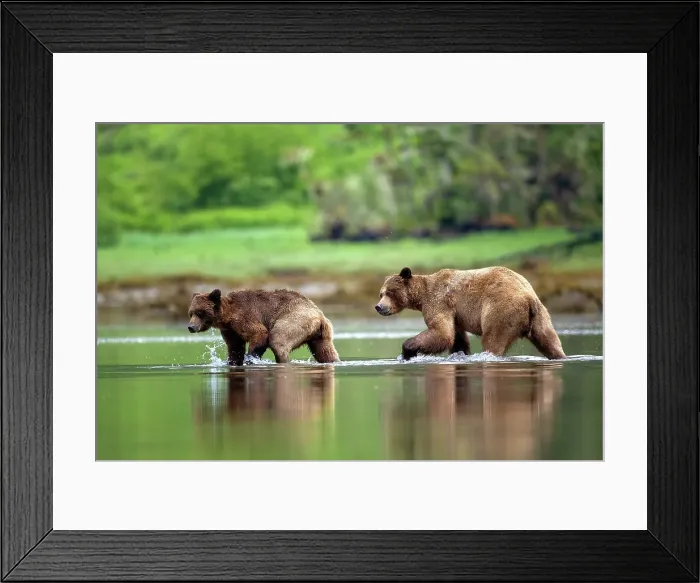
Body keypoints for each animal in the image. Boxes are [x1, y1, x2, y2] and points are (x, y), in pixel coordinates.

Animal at [187, 288, 339, 366]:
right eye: (191, 313)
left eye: (200, 313)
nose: (191, 327)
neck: (226, 316)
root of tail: (320, 316)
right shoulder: (230, 330)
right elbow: (235, 348)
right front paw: (233, 361)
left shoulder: (242, 317)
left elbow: (259, 333)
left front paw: (250, 358)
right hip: (320, 335)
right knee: (325, 351)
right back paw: (333, 361)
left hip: (295, 319)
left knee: (278, 340)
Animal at [375, 266, 566, 361]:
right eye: (381, 293)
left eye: (390, 292)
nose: (379, 307)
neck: (421, 297)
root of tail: (528, 297)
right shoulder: (455, 314)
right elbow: (456, 338)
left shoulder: (439, 301)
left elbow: (441, 333)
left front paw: (407, 351)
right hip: (541, 316)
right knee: (549, 340)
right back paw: (559, 356)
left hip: (500, 310)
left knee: (493, 339)